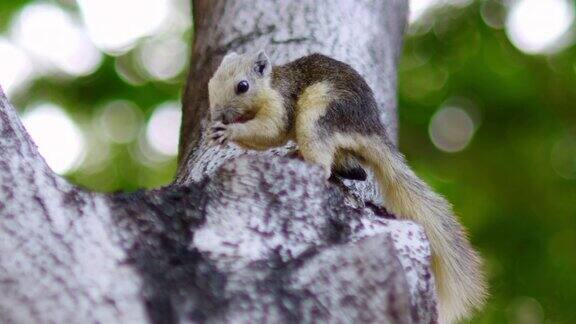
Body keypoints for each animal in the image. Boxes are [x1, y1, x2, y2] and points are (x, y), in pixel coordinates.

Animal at [207, 51, 486, 324]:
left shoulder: (280, 103)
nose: (218, 115)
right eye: (210, 83)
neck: (269, 85)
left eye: (243, 86)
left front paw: (229, 131)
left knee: (323, 162)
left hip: (319, 115)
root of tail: (371, 130)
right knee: (355, 170)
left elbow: (270, 131)